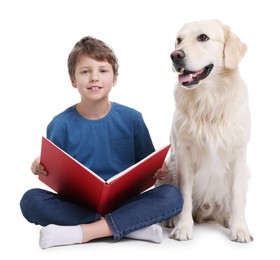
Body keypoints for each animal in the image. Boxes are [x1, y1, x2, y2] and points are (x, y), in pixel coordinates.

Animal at [158, 19, 254, 243]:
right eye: (179, 40)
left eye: (203, 37)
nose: (175, 55)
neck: (208, 100)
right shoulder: (183, 153)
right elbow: (184, 193)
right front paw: (183, 227)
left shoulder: (239, 153)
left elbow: (236, 196)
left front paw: (240, 229)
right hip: (167, 166)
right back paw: (171, 220)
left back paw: (228, 219)